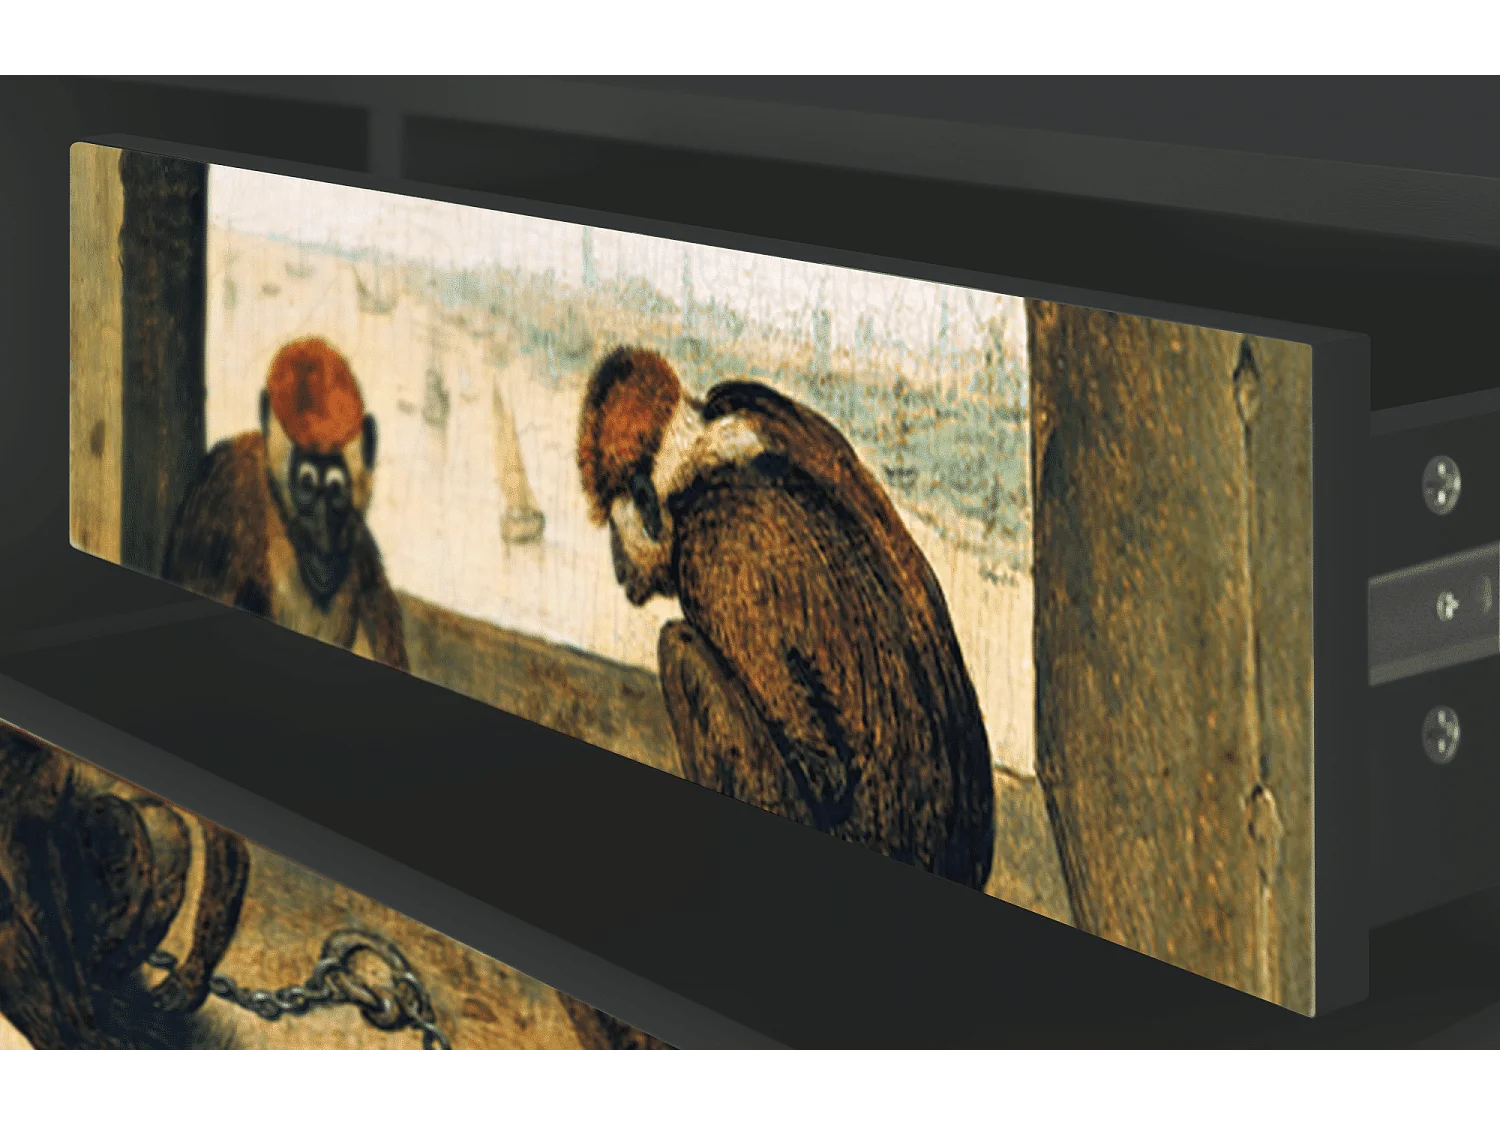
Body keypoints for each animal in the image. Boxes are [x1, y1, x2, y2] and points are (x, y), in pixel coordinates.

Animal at [578, 347, 996, 890]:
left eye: (614, 525)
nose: (616, 564)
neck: (708, 463)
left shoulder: (716, 556)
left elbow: (824, 771)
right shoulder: (766, 400)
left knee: (679, 651)